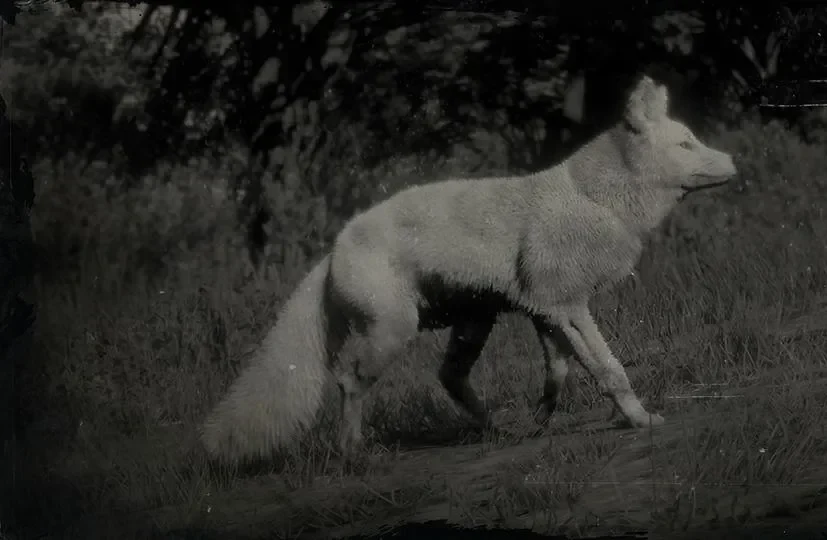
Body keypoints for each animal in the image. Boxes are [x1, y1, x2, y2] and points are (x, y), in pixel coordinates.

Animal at [201, 75, 738, 462]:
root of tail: (331, 253)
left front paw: (542, 417)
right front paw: (639, 420)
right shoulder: (568, 306)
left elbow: (560, 372)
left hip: (473, 323)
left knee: (448, 378)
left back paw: (494, 428)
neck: (597, 200)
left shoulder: (546, 311)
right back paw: (353, 453)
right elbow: (611, 368)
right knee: (350, 382)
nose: (735, 162)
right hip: (395, 332)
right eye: (687, 145)